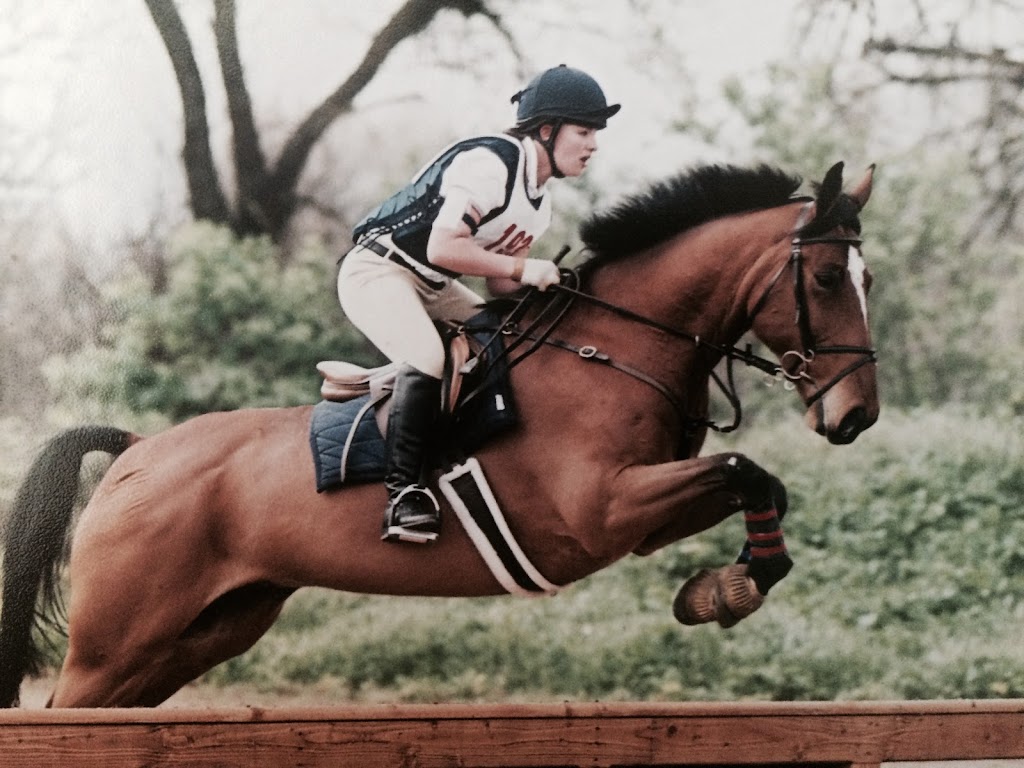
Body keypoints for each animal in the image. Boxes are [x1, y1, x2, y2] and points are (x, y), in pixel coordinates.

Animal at [0, 161, 878, 708]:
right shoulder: (602, 511)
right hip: (117, 642)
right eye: (829, 278)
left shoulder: (643, 521)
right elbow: (745, 468)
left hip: (196, 635)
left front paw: (724, 588)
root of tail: (137, 451)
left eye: (867, 277)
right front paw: (728, 590)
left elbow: (754, 479)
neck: (616, 345)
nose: (856, 416)